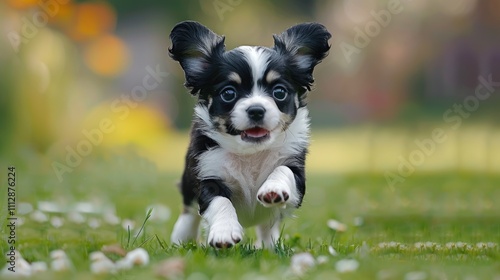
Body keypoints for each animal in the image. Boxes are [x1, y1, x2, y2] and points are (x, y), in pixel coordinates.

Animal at [169, 21, 332, 249]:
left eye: (279, 92)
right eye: (229, 93)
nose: (256, 110)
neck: (250, 152)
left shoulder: (297, 177)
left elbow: (283, 170)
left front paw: (273, 188)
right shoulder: (207, 173)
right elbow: (220, 201)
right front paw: (224, 232)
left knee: (267, 226)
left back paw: (270, 246)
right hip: (188, 178)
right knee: (189, 211)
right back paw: (181, 237)